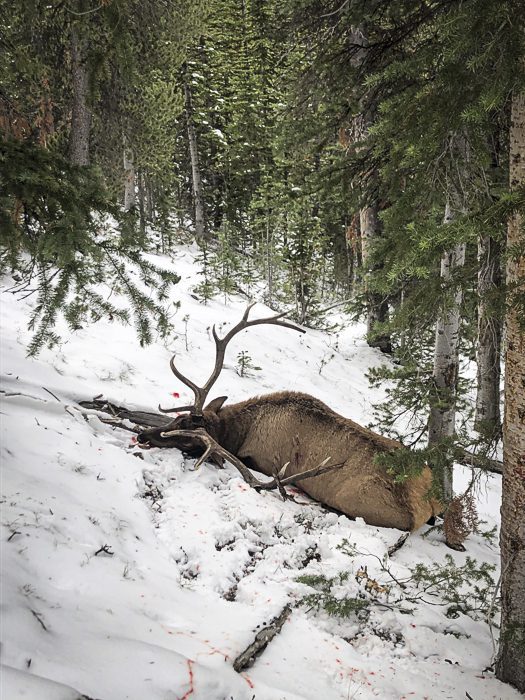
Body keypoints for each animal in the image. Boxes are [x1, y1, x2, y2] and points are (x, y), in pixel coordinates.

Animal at [137, 304, 442, 535]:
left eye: (189, 435)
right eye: (177, 419)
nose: (142, 435)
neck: (242, 430)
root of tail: (426, 504)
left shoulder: (260, 459)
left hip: (357, 501)